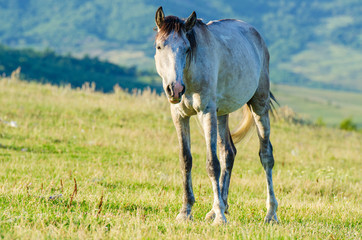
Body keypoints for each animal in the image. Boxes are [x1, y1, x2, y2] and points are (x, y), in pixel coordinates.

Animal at [154, 7, 278, 225]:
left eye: (187, 49)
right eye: (160, 46)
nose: (175, 89)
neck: (189, 73)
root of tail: (254, 33)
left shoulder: (207, 112)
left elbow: (212, 164)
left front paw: (220, 217)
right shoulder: (179, 116)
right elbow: (186, 160)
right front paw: (185, 211)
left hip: (259, 105)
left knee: (266, 156)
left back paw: (270, 214)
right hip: (222, 113)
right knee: (228, 152)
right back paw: (218, 207)